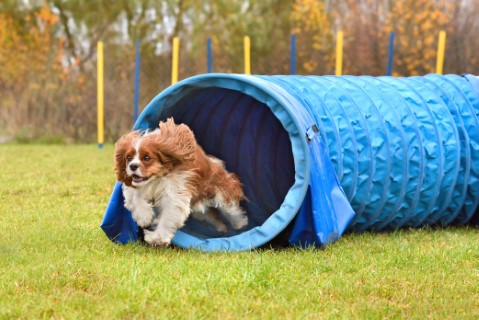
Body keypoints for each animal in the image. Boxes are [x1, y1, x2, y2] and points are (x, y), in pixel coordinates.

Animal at [113, 119, 248, 246]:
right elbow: (135, 196)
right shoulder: (136, 186)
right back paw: (222, 228)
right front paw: (144, 217)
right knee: (212, 215)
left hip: (221, 194)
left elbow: (167, 217)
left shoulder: (174, 195)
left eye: (147, 158)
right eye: (128, 158)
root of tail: (215, 163)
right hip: (200, 209)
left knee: (232, 210)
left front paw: (156, 238)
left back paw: (240, 224)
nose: (132, 166)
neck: (156, 179)